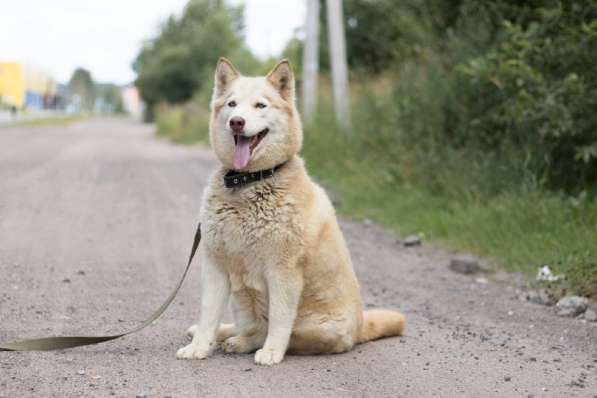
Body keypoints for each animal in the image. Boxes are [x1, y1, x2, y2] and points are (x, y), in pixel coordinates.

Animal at [173, 57, 406, 366]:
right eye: (232, 104)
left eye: (260, 105)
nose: (237, 122)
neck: (248, 181)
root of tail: (359, 328)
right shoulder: (215, 265)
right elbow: (207, 313)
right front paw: (199, 346)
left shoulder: (282, 270)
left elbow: (280, 320)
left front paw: (272, 351)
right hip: (243, 297)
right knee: (250, 327)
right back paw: (230, 336)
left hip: (317, 327)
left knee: (277, 333)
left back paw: (248, 342)